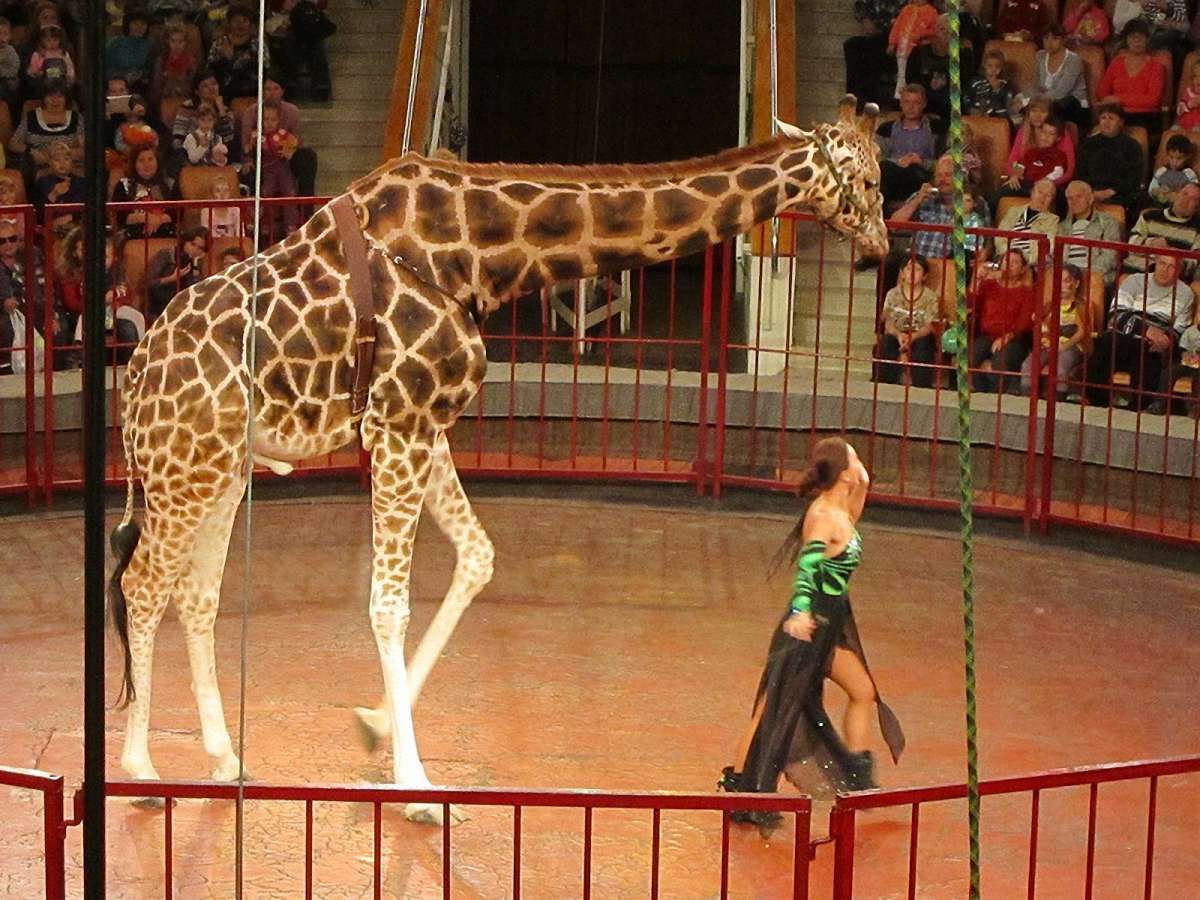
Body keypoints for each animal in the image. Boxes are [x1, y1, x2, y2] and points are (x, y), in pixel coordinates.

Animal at [108, 96, 887, 825]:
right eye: (872, 179)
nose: (879, 249)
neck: (484, 257)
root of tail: (137, 368)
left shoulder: (427, 427)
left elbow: (478, 557)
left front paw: (376, 727)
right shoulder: (397, 424)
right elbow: (387, 603)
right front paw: (416, 788)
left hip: (222, 468)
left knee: (197, 596)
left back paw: (224, 760)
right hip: (183, 471)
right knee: (144, 585)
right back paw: (141, 772)